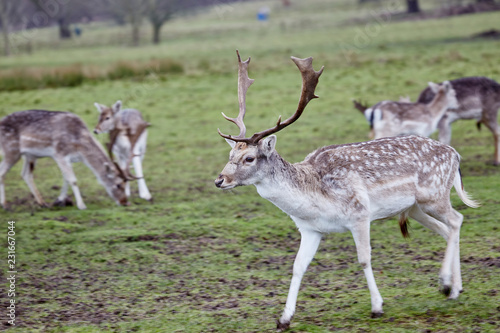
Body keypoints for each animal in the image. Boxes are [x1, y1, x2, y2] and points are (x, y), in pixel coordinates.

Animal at [0, 109, 129, 209]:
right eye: (118, 184)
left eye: (126, 183)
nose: (125, 202)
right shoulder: (59, 154)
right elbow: (73, 180)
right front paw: (81, 205)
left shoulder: (69, 159)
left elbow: (66, 178)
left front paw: (59, 201)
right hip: (11, 149)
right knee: (2, 172)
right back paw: (5, 205)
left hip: (29, 155)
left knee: (26, 173)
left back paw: (42, 203)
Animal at [215, 51, 480, 330]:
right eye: (230, 155)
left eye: (249, 158)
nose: (220, 180)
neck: (314, 200)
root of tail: (455, 155)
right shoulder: (310, 229)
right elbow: (298, 266)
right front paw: (284, 319)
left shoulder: (360, 214)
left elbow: (364, 258)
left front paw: (377, 307)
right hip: (414, 208)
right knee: (446, 229)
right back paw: (453, 287)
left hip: (434, 194)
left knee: (457, 219)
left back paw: (447, 285)